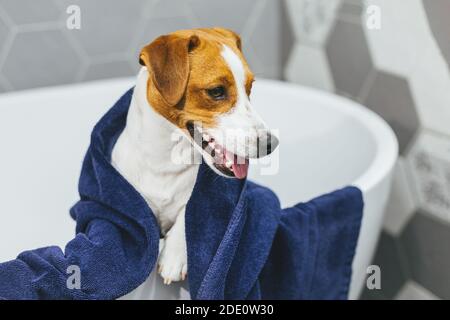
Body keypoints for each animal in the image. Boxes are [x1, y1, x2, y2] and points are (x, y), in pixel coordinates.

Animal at [110, 28, 278, 286]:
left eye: (250, 88)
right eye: (216, 91)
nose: (271, 144)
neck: (165, 162)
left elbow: (189, 210)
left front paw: (174, 256)